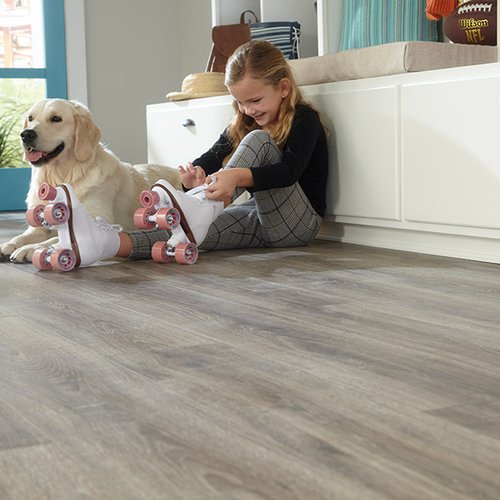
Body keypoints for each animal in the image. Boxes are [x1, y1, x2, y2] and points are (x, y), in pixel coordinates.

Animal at [0, 97, 183, 262]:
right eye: (30, 118)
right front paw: (8, 244)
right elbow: (22, 236)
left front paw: (31, 249)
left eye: (56, 119)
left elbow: (59, 238)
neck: (62, 175)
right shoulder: (39, 226)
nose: (26, 134)